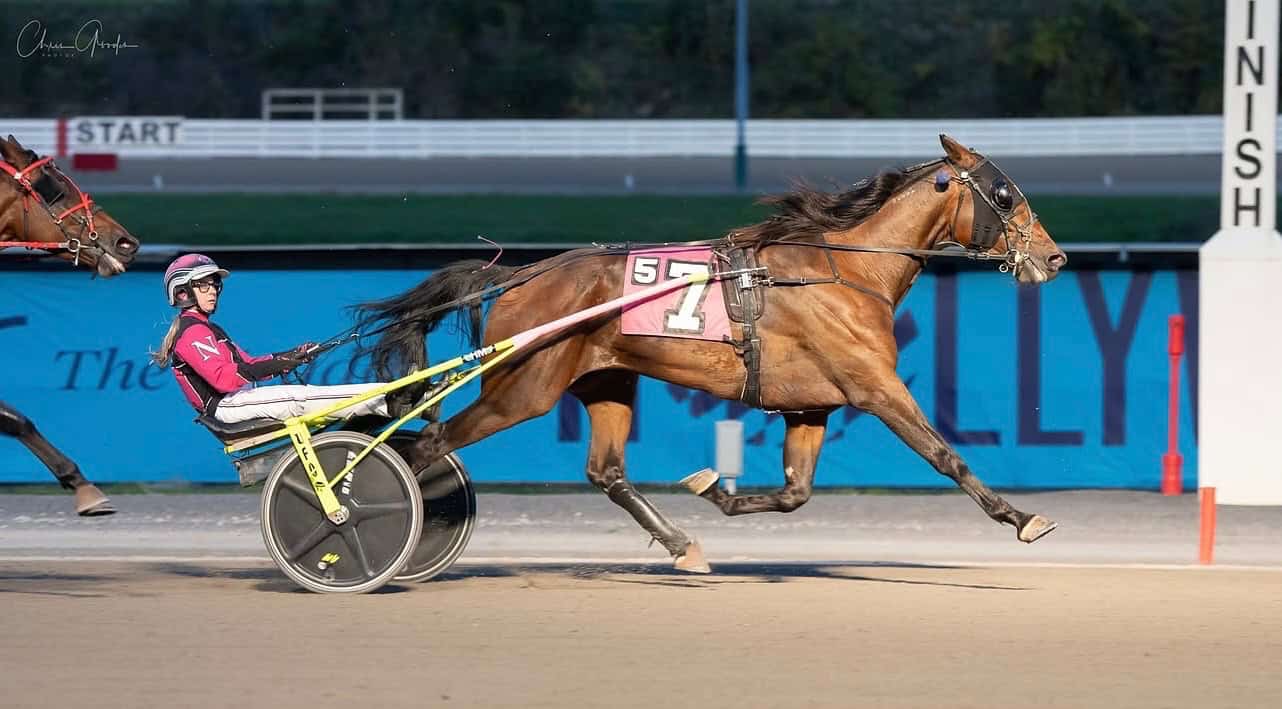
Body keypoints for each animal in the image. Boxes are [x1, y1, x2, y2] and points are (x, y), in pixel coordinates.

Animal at [353, 134, 1067, 572]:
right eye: (1005, 193)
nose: (1055, 257)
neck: (845, 269)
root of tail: (523, 274)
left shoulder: (810, 405)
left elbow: (795, 492)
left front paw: (715, 492)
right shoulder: (874, 386)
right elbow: (945, 455)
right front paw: (1021, 516)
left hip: (605, 381)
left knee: (606, 471)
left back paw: (682, 544)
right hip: (524, 389)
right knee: (427, 443)